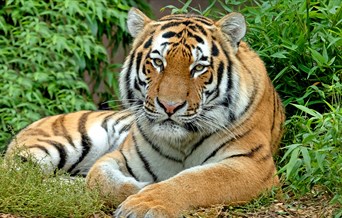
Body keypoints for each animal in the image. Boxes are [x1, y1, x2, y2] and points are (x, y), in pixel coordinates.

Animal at [5, 7, 284, 217]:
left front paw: (143, 203)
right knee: (17, 176)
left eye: (198, 67)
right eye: (158, 62)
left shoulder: (252, 164)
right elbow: (100, 179)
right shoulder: (122, 156)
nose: (170, 106)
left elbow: (198, 180)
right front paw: (138, 190)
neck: (182, 141)